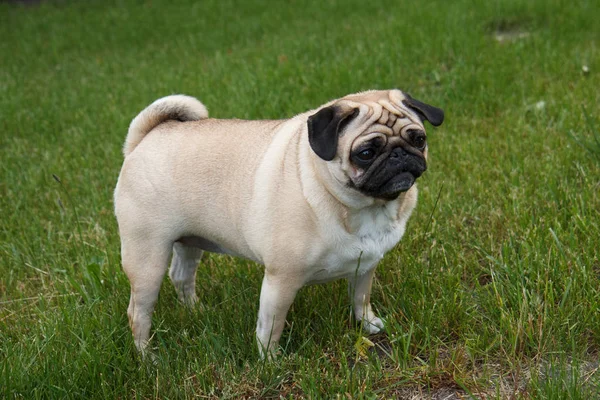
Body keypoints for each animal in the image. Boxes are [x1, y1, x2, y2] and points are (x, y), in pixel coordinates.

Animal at [113, 89, 440, 358]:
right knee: (138, 312)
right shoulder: (281, 280)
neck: (364, 207)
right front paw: (270, 362)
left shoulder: (365, 266)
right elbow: (272, 326)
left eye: (418, 139)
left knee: (182, 276)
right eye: (366, 153)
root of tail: (146, 138)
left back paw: (196, 311)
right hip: (147, 258)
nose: (399, 154)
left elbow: (361, 299)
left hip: (190, 242)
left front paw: (369, 325)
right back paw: (148, 358)